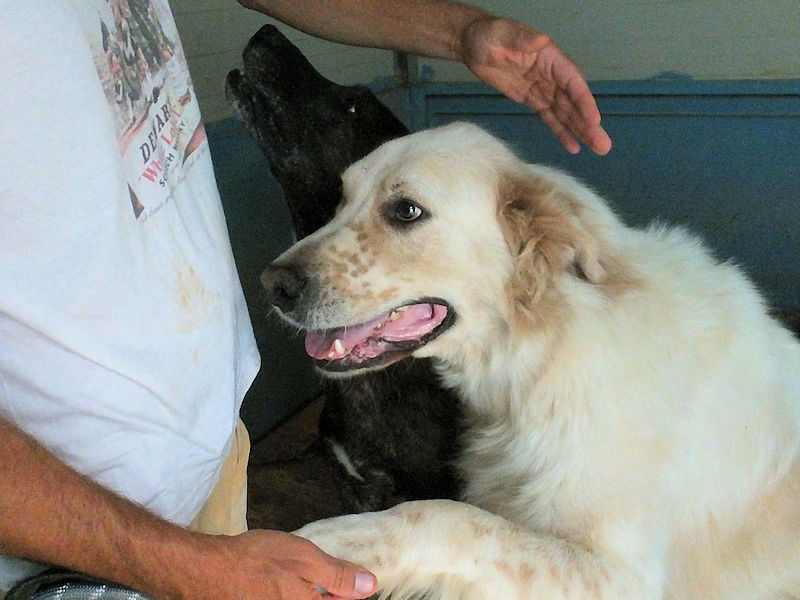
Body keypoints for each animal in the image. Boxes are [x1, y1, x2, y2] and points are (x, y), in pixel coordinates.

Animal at [261, 122, 800, 600]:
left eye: (407, 211)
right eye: (341, 201)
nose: (273, 284)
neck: (541, 353)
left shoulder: (620, 576)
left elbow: (444, 515)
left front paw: (330, 542)